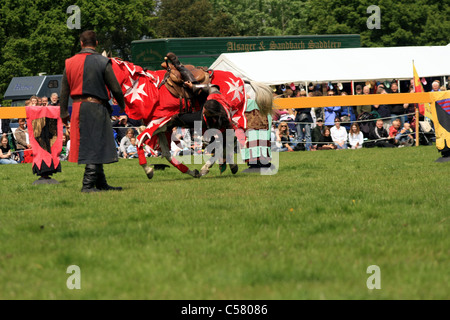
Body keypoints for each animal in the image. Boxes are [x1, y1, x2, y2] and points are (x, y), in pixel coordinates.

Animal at [110, 55, 272, 180]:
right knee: (227, 142)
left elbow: (140, 139)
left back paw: (209, 167)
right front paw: (190, 171)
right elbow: (166, 153)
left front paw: (148, 170)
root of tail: (240, 80)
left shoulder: (160, 121)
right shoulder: (162, 127)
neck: (152, 90)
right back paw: (228, 165)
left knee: (226, 141)